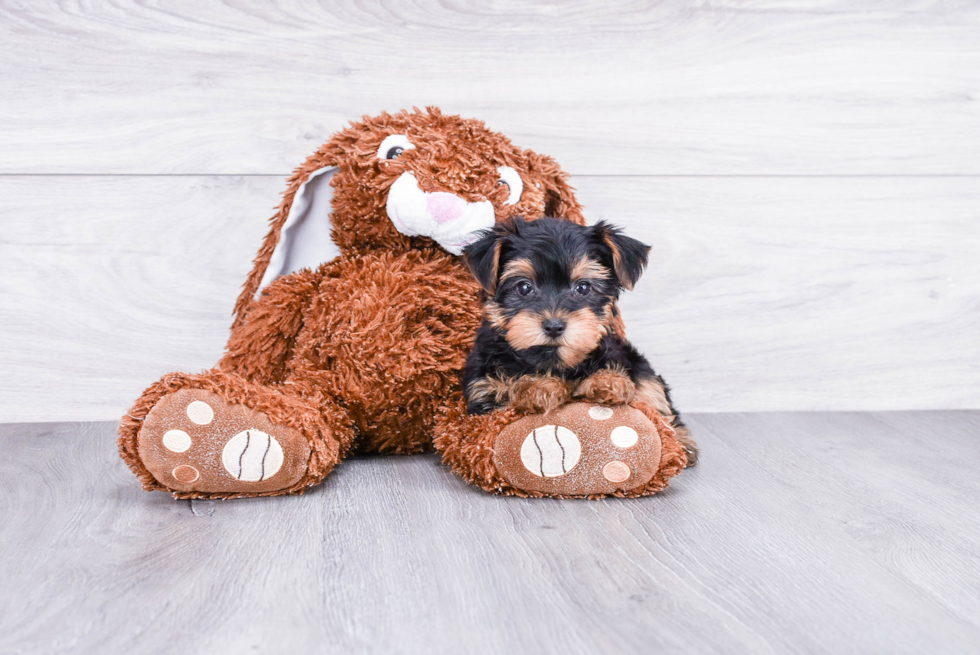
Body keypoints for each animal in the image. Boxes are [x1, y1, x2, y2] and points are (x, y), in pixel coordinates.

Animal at [462, 218, 696, 464]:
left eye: (583, 287)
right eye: (524, 287)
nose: (554, 326)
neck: (556, 362)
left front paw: (608, 382)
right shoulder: (484, 392)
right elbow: (506, 395)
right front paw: (539, 387)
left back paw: (680, 443)